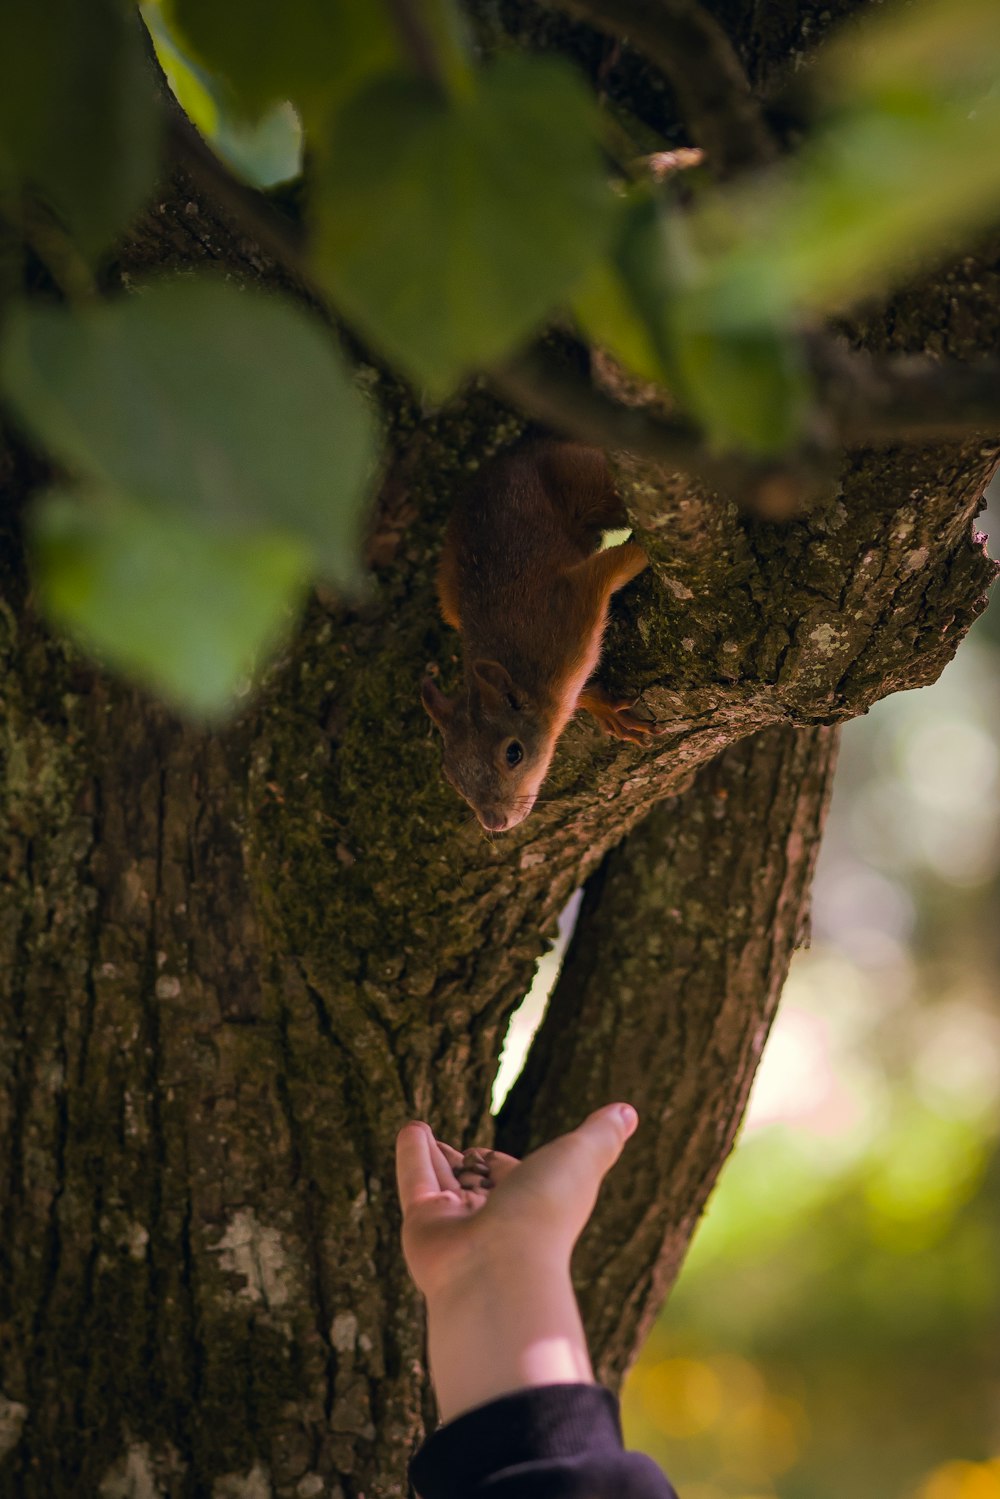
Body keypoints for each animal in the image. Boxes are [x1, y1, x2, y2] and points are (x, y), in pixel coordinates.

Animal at [419, 437, 668, 833]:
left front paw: (644, 549)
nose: (494, 822)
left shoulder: (571, 605)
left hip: (584, 479)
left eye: (513, 753)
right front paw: (602, 707)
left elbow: (620, 561)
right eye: (452, 777)